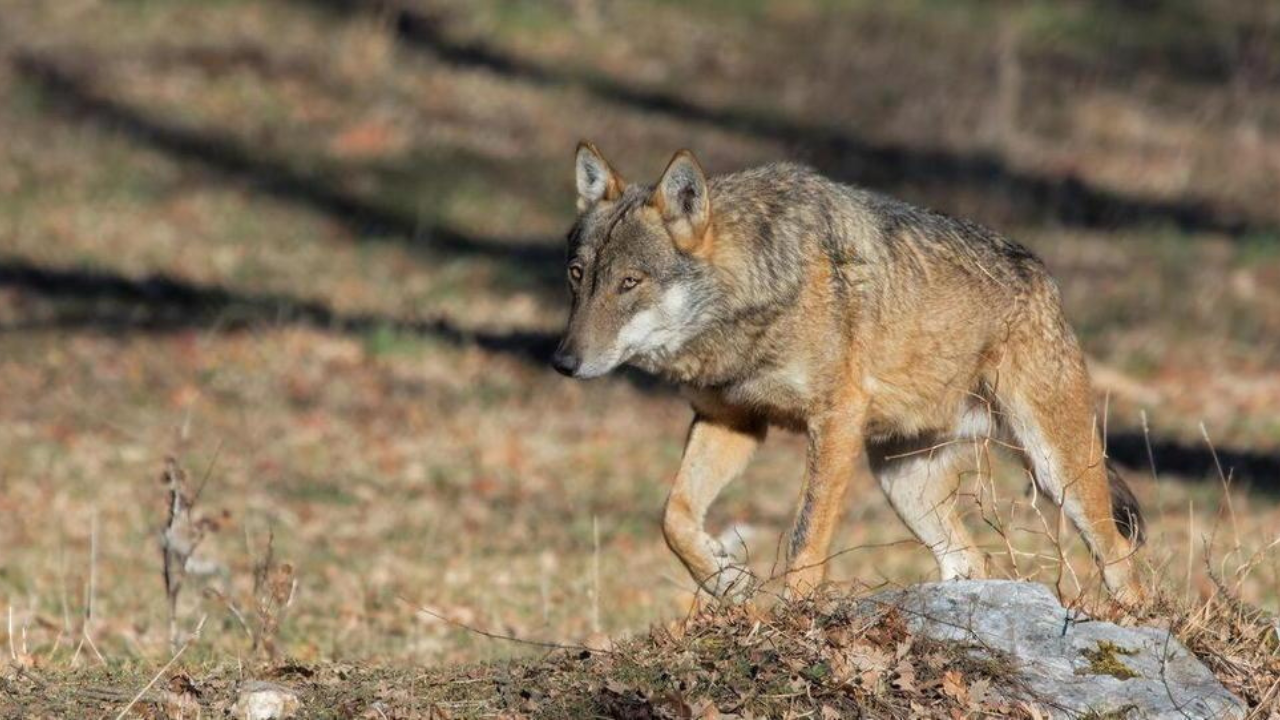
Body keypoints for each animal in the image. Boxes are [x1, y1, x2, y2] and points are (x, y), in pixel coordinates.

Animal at [552, 141, 1145, 601]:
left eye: (630, 282)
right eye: (578, 275)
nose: (562, 361)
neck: (756, 293)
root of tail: (1047, 279)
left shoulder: (835, 421)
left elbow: (804, 539)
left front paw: (786, 621)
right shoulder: (733, 422)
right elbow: (673, 515)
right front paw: (727, 580)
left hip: (1057, 471)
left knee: (1120, 558)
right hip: (903, 484)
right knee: (972, 562)